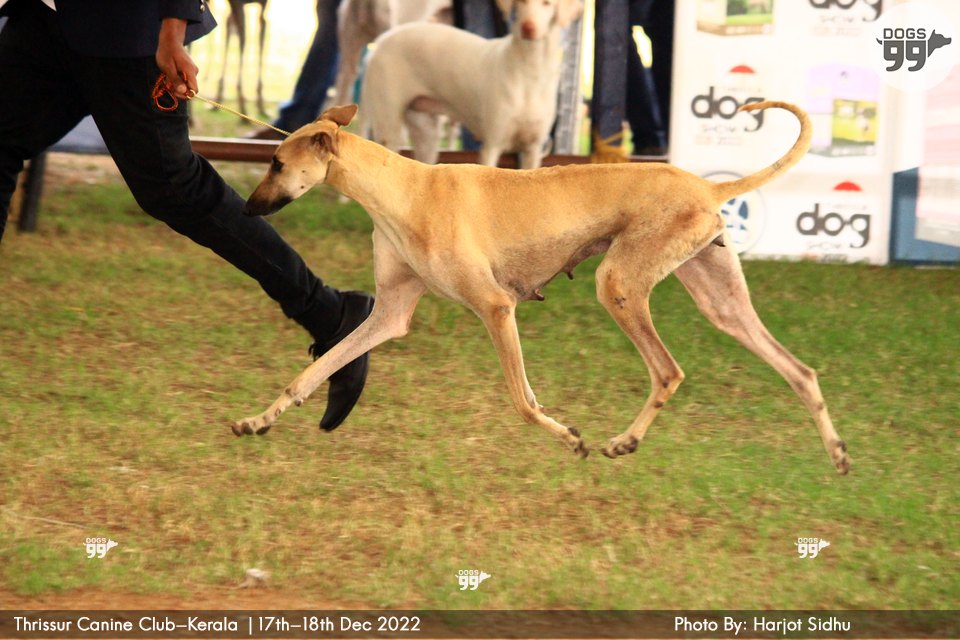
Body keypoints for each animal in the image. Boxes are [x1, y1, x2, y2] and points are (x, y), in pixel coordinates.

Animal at [234, 101, 851, 475]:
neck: (405, 189)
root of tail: (704, 186)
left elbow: (524, 402)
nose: (247, 209)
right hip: (719, 299)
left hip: (617, 284)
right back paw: (838, 454)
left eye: (276, 163)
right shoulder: (390, 314)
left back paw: (624, 441)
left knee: (669, 371)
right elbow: (310, 374)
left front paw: (573, 439)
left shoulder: (496, 308)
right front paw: (258, 420)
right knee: (801, 371)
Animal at [359, 0, 583, 168]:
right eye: (521, 2)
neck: (529, 72)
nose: (527, 28)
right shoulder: (492, 145)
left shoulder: (532, 150)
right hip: (388, 130)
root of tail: (380, 42)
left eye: (547, 3)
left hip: (427, 136)